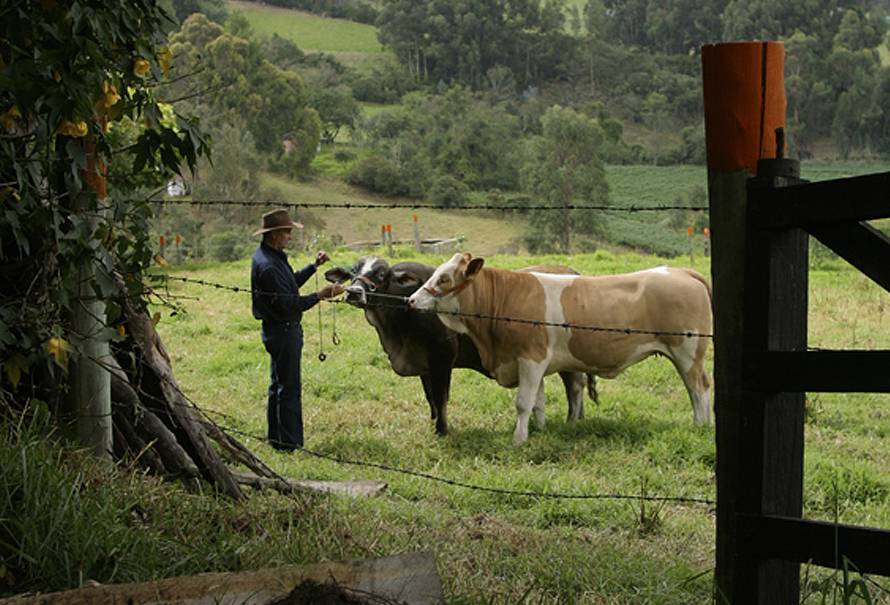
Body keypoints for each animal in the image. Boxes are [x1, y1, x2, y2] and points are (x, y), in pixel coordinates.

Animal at [406, 252, 712, 446]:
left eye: (444, 278)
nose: (411, 300)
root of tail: (681, 271)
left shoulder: (531, 358)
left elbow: (523, 402)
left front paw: (518, 440)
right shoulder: (530, 363)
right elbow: (537, 402)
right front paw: (540, 430)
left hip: (687, 353)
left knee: (697, 389)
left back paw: (700, 425)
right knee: (700, 387)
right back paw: (705, 425)